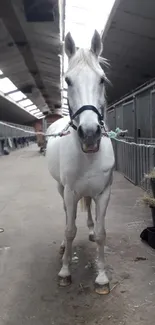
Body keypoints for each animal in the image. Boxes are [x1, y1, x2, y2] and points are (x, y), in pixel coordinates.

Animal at [46, 30, 115, 294]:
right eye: (67, 81)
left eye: (102, 79)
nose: (90, 133)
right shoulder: (69, 192)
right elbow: (69, 230)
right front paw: (65, 272)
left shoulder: (104, 192)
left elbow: (103, 233)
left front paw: (102, 277)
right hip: (60, 188)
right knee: (69, 216)